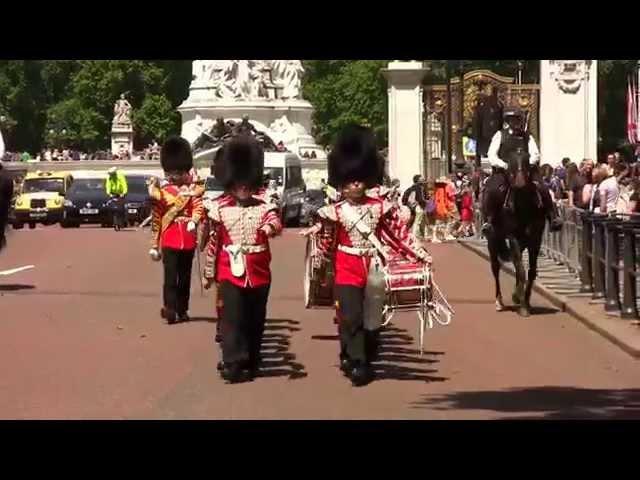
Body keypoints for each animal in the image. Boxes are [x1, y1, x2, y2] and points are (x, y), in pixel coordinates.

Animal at [488, 148, 548, 316]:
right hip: (493, 240)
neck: (523, 207)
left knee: (515, 263)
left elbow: (530, 271)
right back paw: (499, 302)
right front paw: (520, 301)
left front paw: (525, 301)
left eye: (527, 162)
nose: (520, 184)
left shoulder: (535, 239)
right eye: (511, 164)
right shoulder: (513, 237)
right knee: (496, 267)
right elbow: (521, 270)